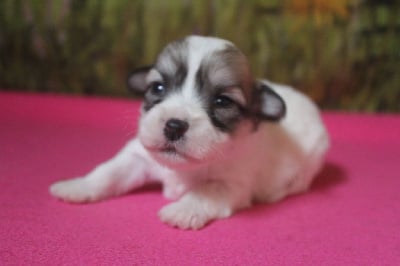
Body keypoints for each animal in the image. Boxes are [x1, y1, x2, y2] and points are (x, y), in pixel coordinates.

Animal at [49, 35, 328, 230]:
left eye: (222, 101)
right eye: (157, 87)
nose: (174, 125)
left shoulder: (233, 183)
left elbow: (206, 191)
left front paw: (181, 210)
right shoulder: (137, 158)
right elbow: (108, 172)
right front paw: (78, 185)